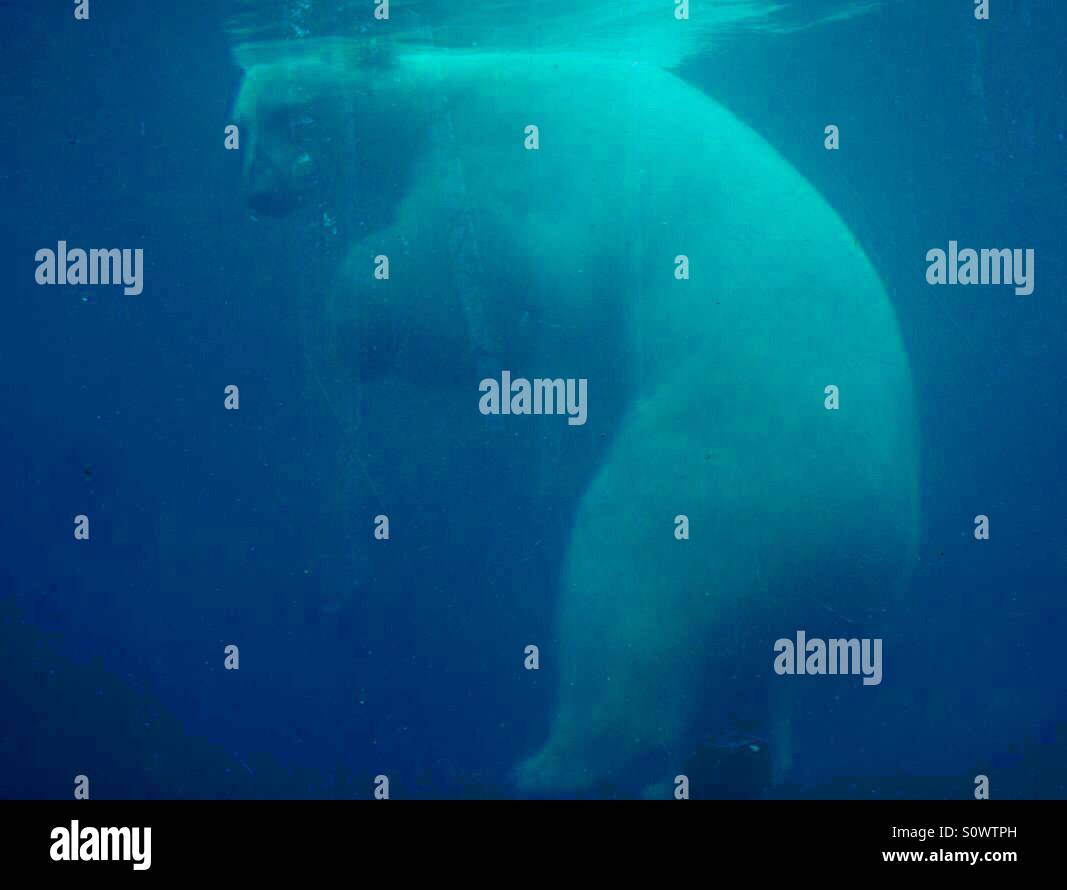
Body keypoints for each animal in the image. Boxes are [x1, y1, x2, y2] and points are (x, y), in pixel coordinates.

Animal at [230, 30, 919, 796]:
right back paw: (725, 759)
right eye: (240, 128)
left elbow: (492, 278)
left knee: (626, 584)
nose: (258, 196)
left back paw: (553, 765)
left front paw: (352, 322)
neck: (448, 88)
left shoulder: (513, 160)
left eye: (290, 116)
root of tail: (875, 548)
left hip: (734, 475)